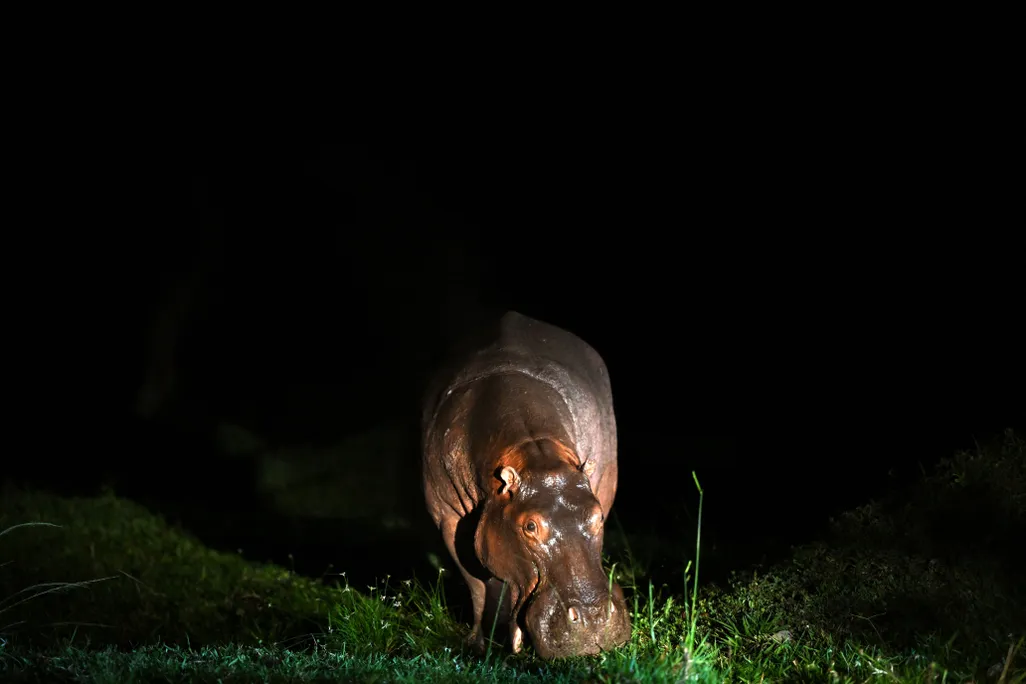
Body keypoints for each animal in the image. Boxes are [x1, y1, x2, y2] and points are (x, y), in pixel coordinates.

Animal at [421, 310, 631, 659]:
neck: (534, 452)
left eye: (598, 516)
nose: (593, 620)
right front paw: (478, 644)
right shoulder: (449, 519)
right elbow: (476, 584)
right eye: (530, 526)